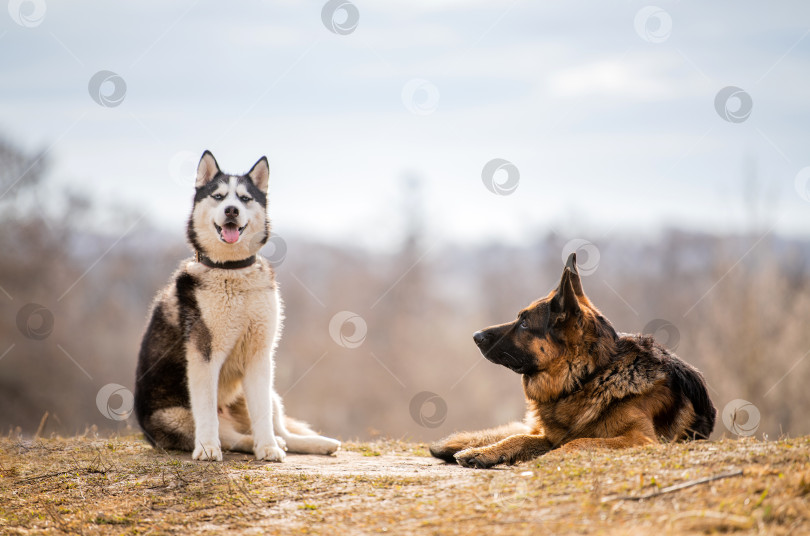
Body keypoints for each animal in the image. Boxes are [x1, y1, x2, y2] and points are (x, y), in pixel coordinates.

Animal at [136, 150, 340, 460]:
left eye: (244, 198)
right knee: (231, 437)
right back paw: (239, 443)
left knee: (278, 429)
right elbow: (207, 412)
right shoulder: (204, 356)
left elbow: (263, 415)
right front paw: (207, 449)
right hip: (175, 417)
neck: (232, 270)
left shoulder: (260, 354)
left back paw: (303, 443)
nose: (231, 210)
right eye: (219, 196)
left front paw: (268, 448)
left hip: (265, 393)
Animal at [430, 253, 712, 466]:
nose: (475, 336)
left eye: (524, 323)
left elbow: (579, 441)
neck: (588, 377)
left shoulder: (641, 439)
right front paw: (484, 452)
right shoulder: (548, 436)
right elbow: (518, 438)